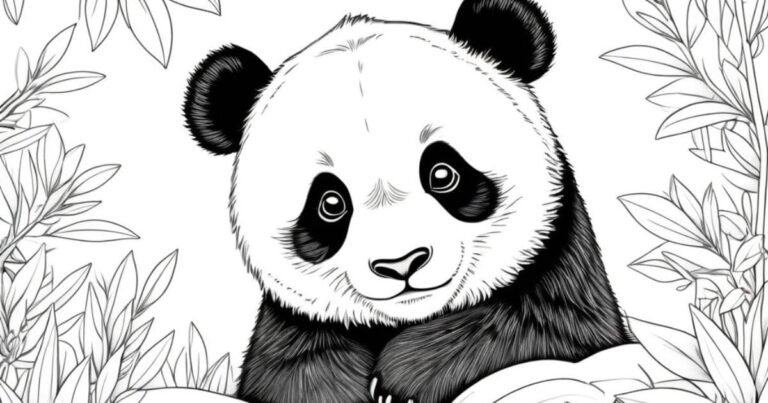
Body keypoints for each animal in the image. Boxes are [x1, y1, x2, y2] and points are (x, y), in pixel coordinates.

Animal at [182, 0, 631, 402]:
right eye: (330, 203)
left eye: (443, 173)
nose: (401, 264)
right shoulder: (292, 322)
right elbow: (293, 369)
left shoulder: (558, 261)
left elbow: (538, 326)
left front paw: (403, 382)